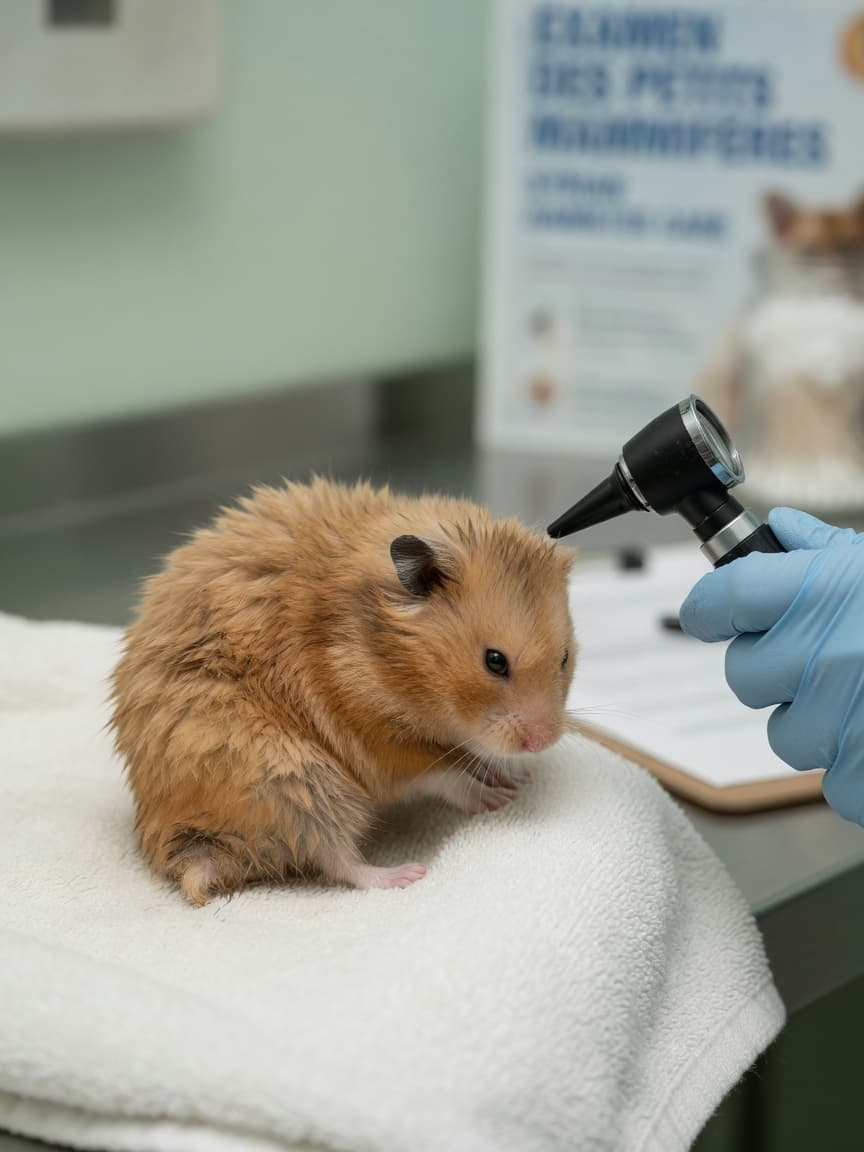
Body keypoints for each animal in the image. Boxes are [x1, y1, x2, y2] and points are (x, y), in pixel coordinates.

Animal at [110, 478, 576, 905]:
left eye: (566, 658)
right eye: (494, 661)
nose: (543, 742)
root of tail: (187, 849)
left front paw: (515, 776)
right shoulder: (375, 744)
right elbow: (438, 773)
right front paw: (498, 796)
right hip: (296, 781)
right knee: (335, 858)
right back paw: (403, 875)